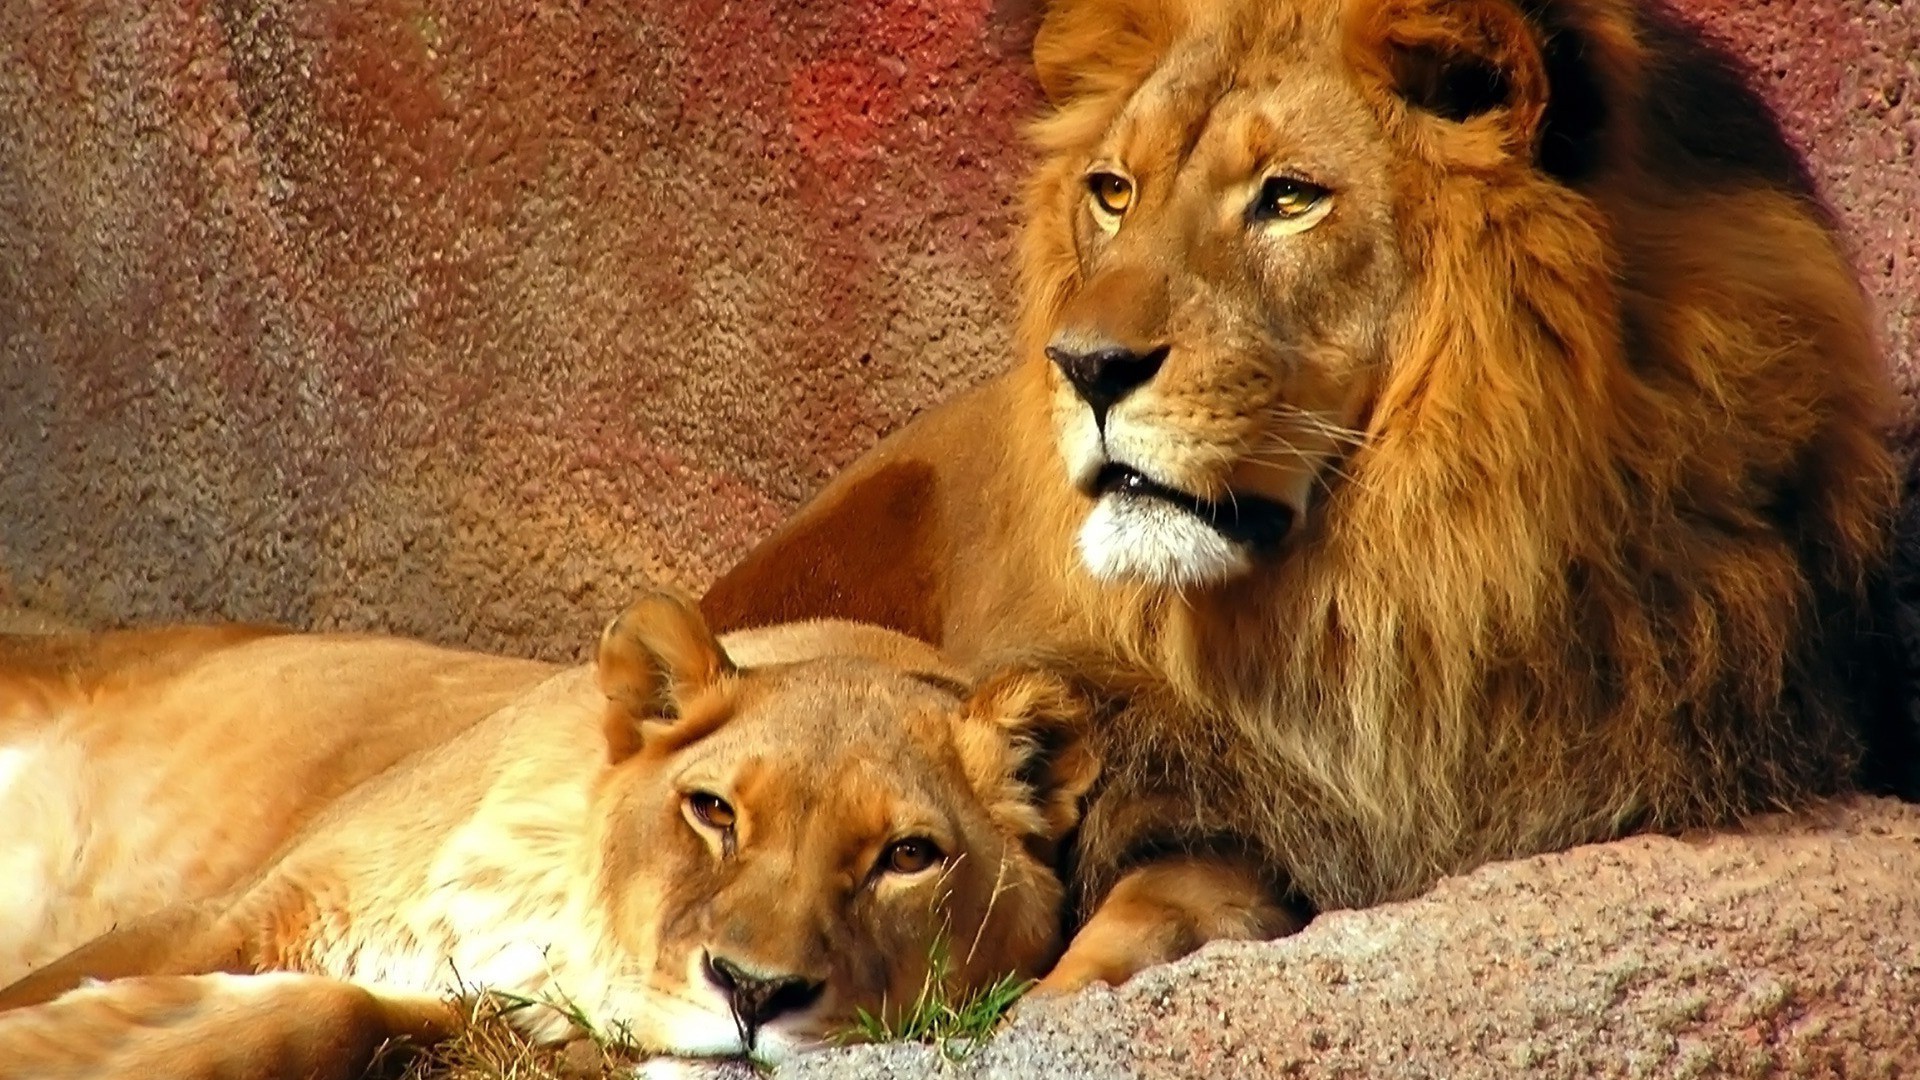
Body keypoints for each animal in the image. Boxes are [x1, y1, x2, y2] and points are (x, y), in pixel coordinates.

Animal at [0, 591, 1098, 1068]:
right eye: (713, 811)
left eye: (907, 858)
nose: (754, 994)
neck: (546, 906)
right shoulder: (240, 906)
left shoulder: (458, 1008)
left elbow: (325, 1017)